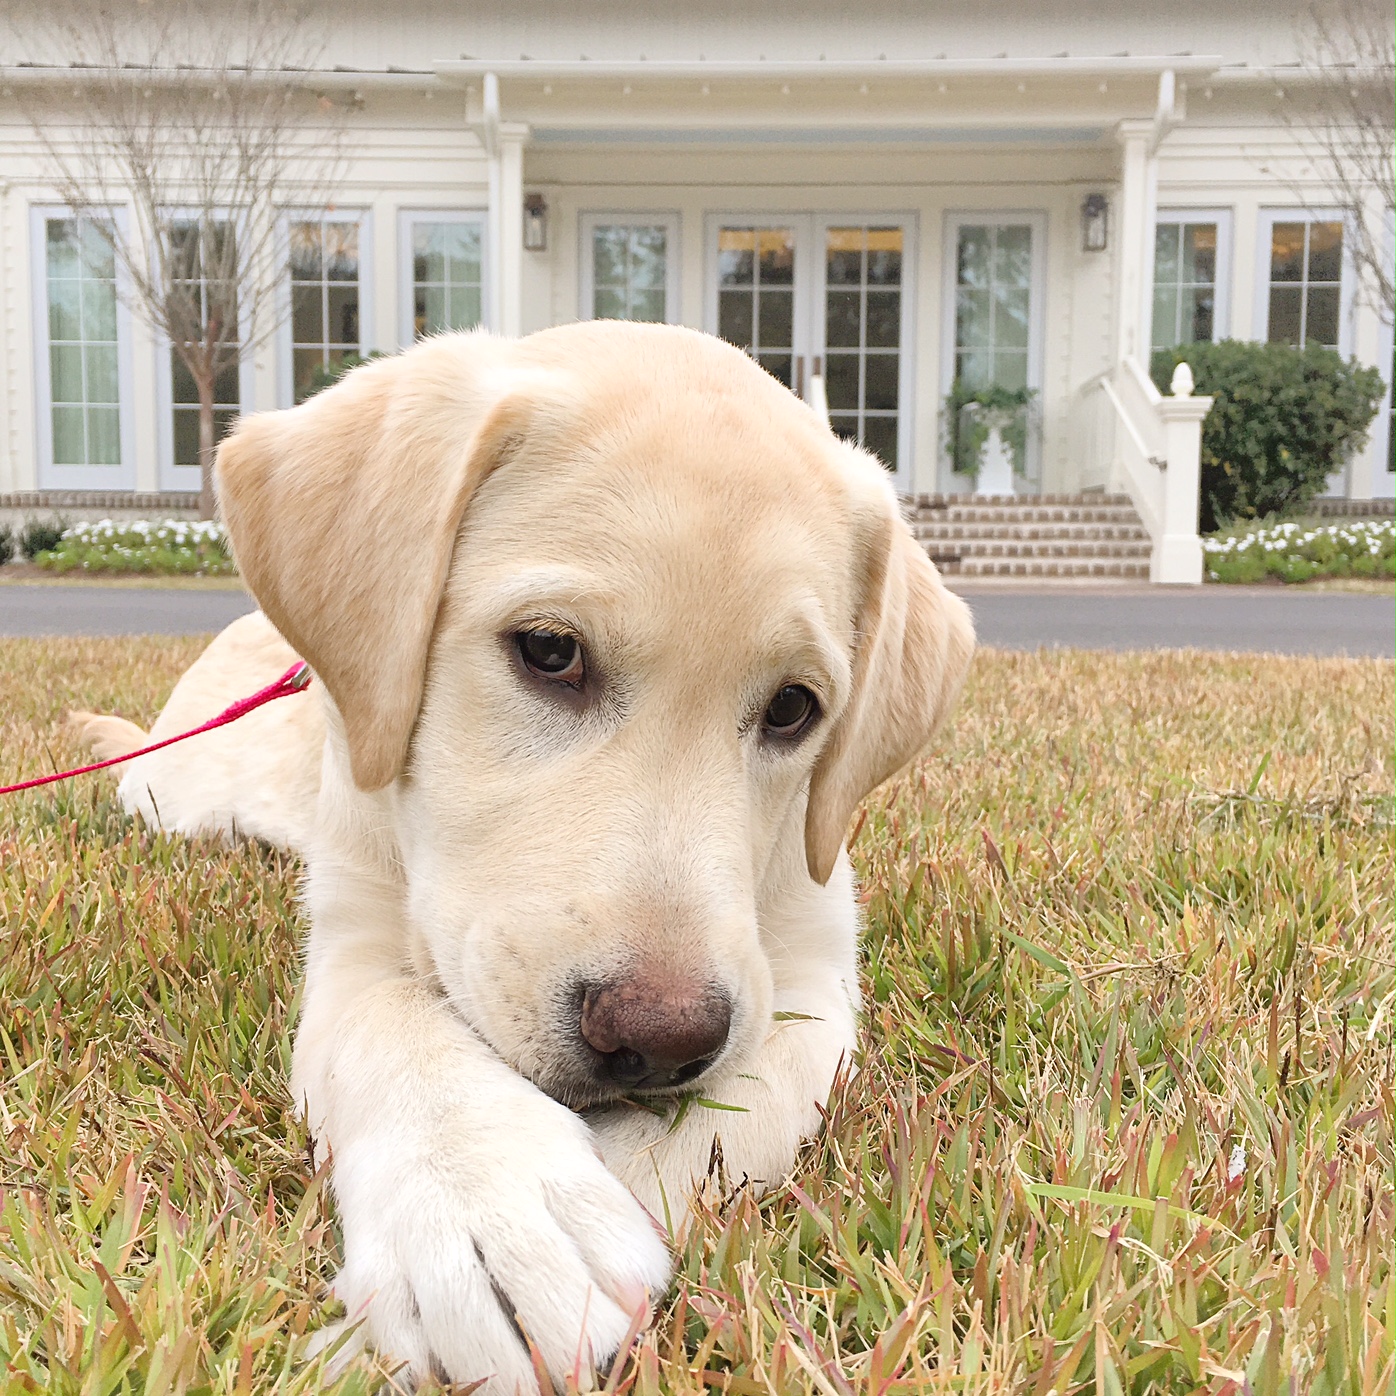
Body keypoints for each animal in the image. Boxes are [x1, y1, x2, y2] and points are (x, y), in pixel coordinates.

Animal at [74, 322, 974, 1389]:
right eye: (549, 651)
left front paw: (599, 1198)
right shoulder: (353, 933)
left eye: (795, 708)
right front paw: (484, 1211)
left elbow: (736, 1106)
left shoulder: (808, 978)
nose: (658, 1042)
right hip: (173, 794)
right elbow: (396, 1031)